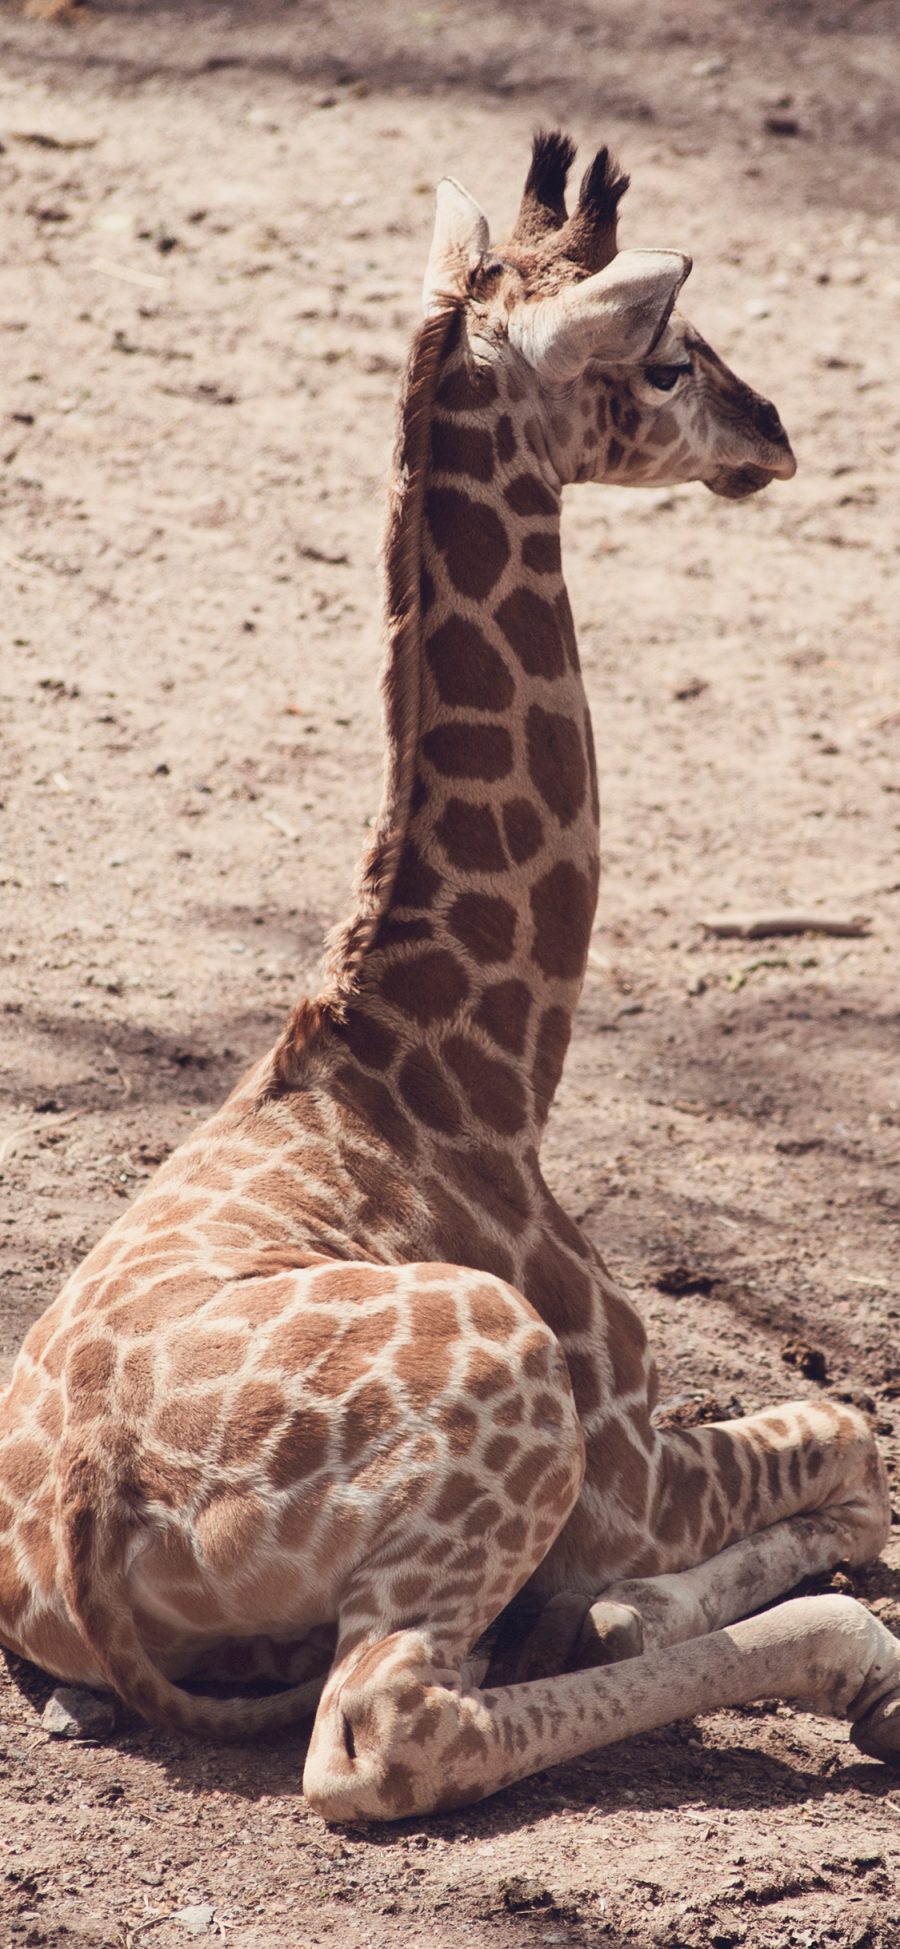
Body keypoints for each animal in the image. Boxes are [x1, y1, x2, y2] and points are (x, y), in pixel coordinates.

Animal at [1, 137, 900, 1824]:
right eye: (669, 359)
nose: (774, 433)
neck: (477, 1060)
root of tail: (91, 1512)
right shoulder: (629, 1457)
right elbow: (848, 1429)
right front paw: (692, 1609)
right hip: (510, 1386)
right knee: (384, 1731)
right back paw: (840, 1658)